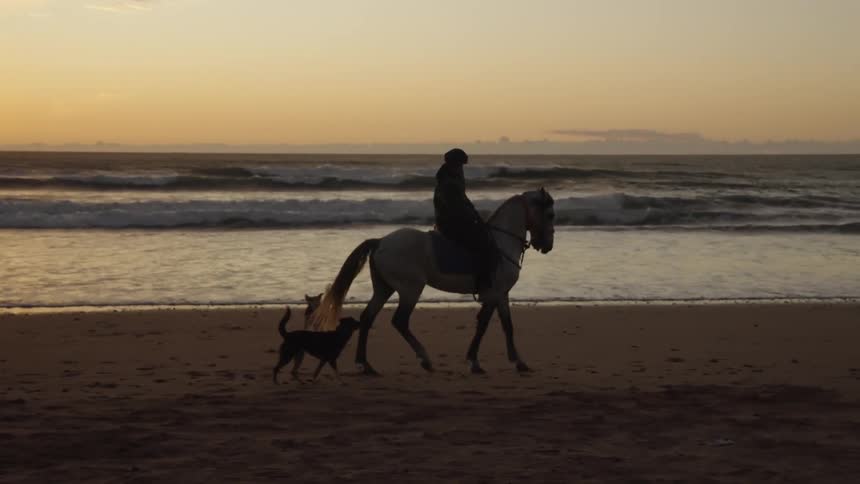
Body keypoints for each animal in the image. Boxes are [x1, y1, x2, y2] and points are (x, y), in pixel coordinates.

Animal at [310, 188, 555, 375]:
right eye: (550, 215)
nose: (547, 246)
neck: (501, 242)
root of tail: (380, 242)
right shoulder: (494, 293)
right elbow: (484, 325)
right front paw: (474, 362)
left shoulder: (502, 294)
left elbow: (507, 326)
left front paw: (519, 362)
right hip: (410, 289)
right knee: (400, 321)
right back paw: (424, 359)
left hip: (384, 289)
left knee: (368, 318)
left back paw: (365, 365)